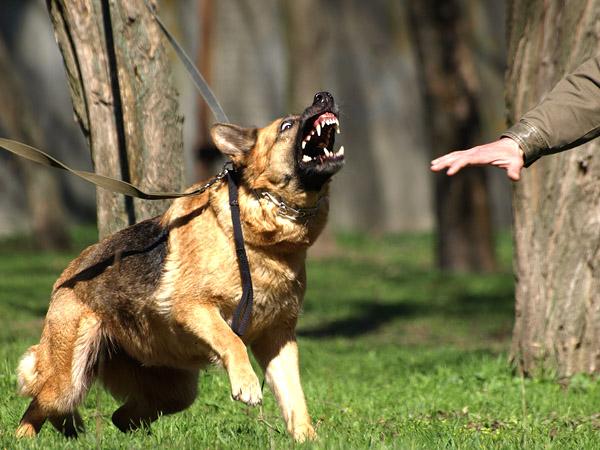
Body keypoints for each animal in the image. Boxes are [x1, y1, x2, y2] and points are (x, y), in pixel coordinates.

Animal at [16, 90, 344, 440]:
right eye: (286, 125)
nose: (324, 96)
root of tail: (65, 276)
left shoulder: (279, 338)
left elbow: (295, 396)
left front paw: (308, 439)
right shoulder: (194, 308)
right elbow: (232, 340)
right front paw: (247, 383)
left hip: (176, 391)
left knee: (121, 416)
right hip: (69, 380)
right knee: (41, 402)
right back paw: (23, 437)